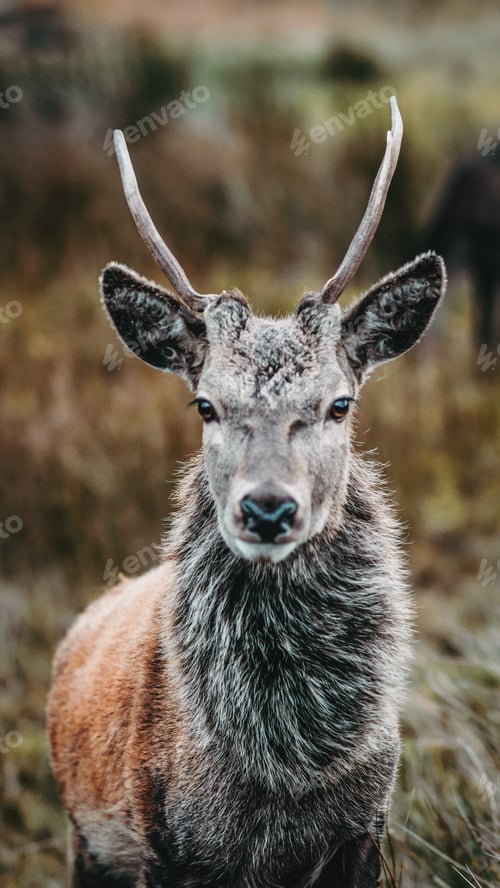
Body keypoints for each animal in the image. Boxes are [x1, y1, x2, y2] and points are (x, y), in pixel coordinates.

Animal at [47, 97, 446, 888]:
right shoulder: (163, 839)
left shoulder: (367, 830)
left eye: (339, 404)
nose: (267, 507)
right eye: (205, 404)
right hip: (85, 836)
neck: (281, 780)